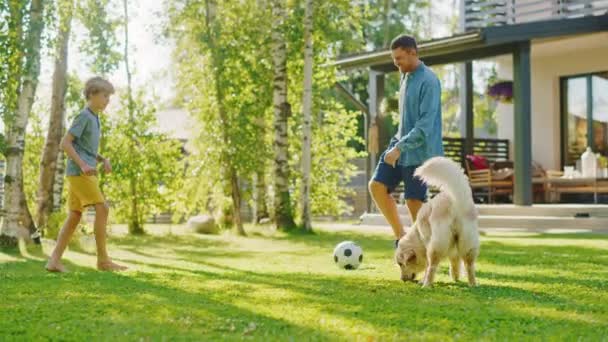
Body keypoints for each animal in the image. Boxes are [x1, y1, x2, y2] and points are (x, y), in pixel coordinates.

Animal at [394, 156, 480, 288]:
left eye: (401, 264)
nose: (402, 279)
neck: (418, 234)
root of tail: (455, 201)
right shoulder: (454, 251)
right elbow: (455, 262)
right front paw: (455, 277)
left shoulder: (428, 245)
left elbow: (428, 265)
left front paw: (423, 279)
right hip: (468, 244)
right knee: (469, 265)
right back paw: (472, 284)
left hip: (437, 245)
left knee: (432, 266)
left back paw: (426, 284)